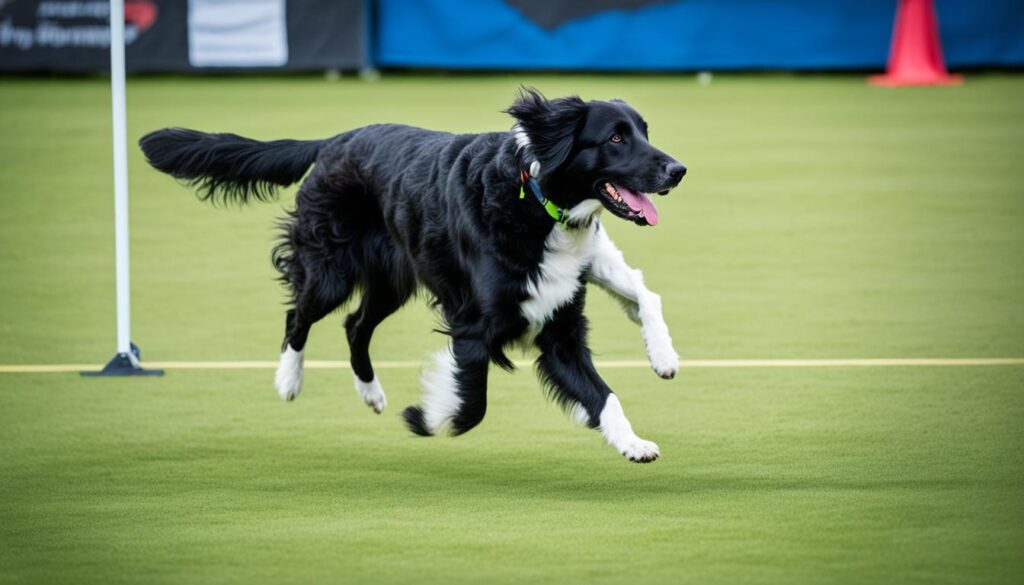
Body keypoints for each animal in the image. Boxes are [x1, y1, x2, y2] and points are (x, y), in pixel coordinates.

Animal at [140, 88, 684, 463]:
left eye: (646, 131)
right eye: (615, 137)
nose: (677, 170)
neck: (534, 200)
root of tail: (335, 141)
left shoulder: (559, 327)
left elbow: (603, 392)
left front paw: (633, 441)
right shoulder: (474, 327)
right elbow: (471, 404)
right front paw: (425, 415)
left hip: (392, 279)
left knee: (354, 326)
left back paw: (371, 393)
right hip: (332, 270)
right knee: (300, 316)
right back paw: (288, 381)